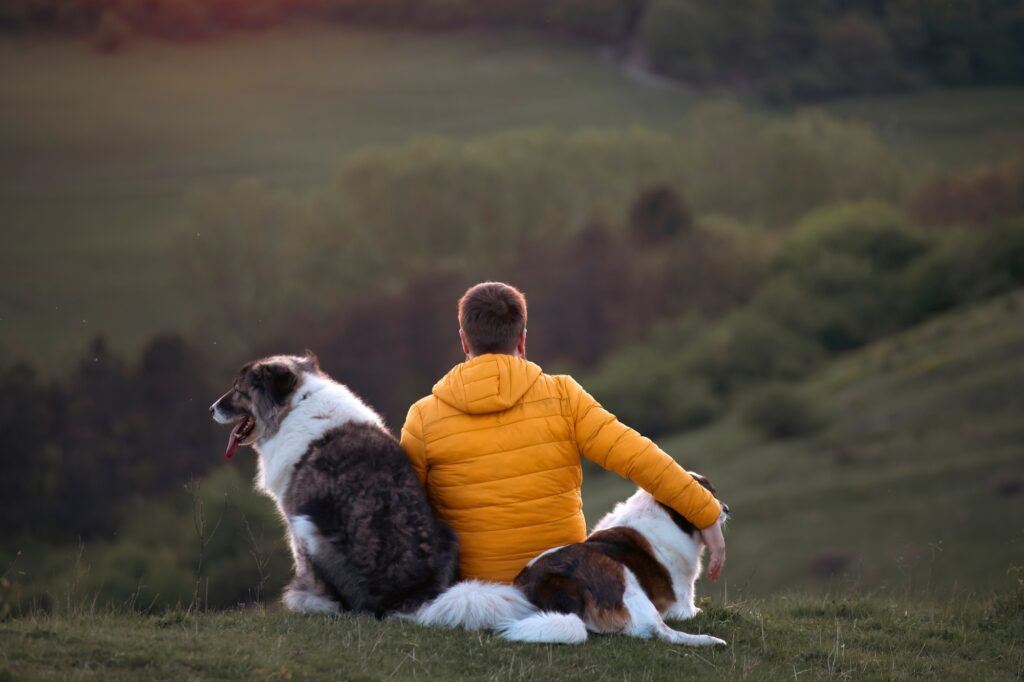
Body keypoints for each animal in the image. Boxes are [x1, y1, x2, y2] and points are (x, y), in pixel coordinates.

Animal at [209, 352, 458, 614]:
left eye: (238, 390)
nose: (211, 409)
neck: (295, 405)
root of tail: (410, 593)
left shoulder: (294, 518)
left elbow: (301, 560)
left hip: (310, 525)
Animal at [413, 473, 729, 643]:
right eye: (710, 493)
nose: (725, 509)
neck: (664, 514)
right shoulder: (681, 606)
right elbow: (691, 611)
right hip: (621, 577)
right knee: (660, 630)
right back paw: (711, 640)